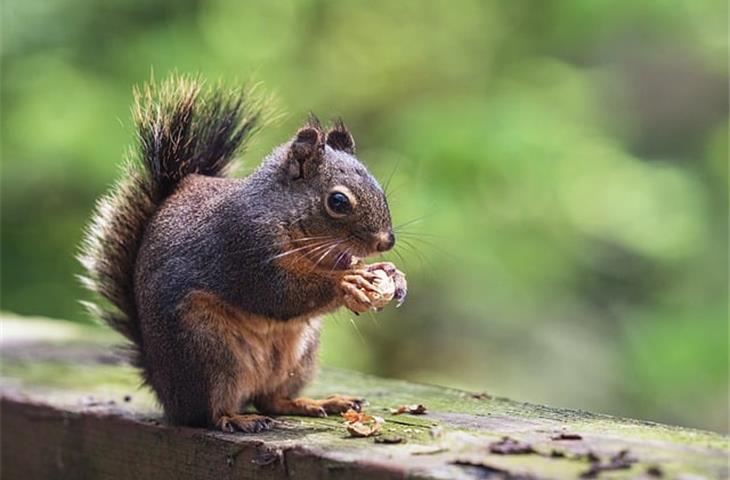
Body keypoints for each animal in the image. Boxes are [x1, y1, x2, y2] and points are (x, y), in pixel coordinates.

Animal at [79, 77, 404, 434]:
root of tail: (164, 390)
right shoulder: (244, 247)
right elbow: (280, 294)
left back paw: (318, 402)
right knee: (210, 413)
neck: (284, 215)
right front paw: (347, 281)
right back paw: (237, 418)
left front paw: (390, 274)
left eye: (380, 188)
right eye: (338, 202)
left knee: (271, 399)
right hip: (207, 353)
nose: (386, 242)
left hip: (299, 356)